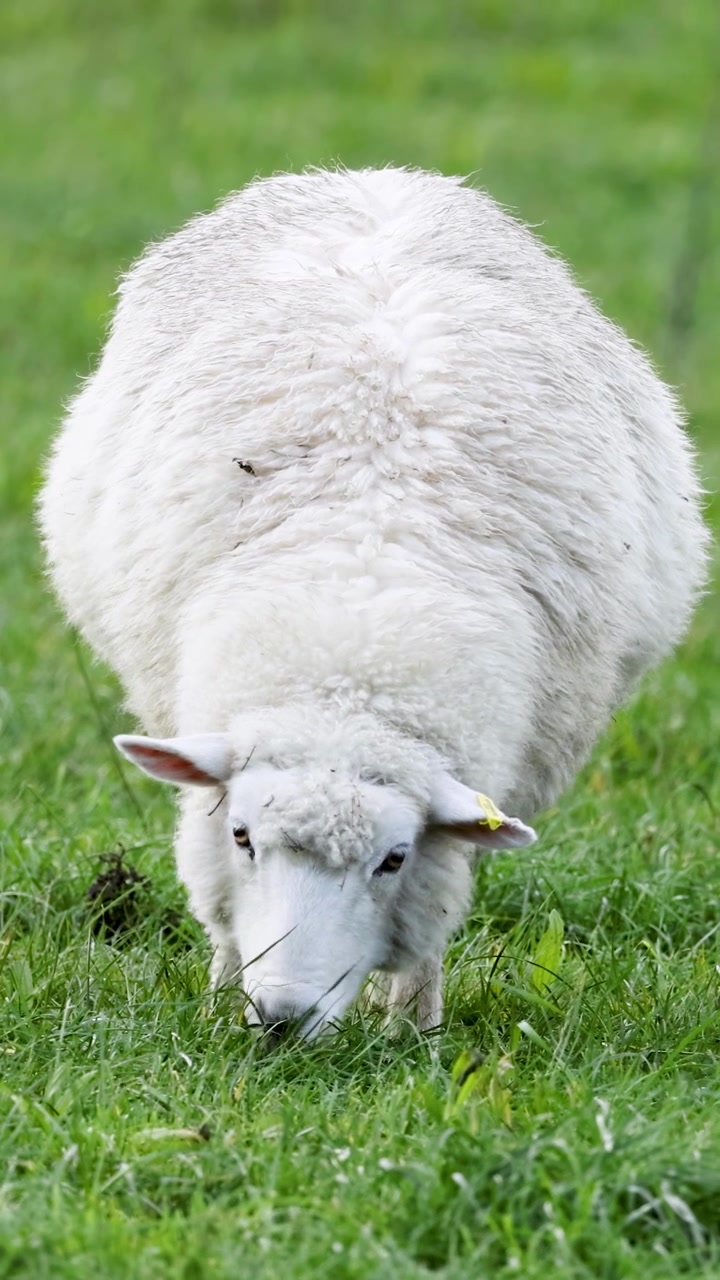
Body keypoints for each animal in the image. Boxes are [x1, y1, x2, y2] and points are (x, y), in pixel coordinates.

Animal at [39, 166, 709, 1040]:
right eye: (242, 836)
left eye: (393, 859)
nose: (283, 1018)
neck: (352, 645)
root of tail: (379, 178)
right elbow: (224, 919)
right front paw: (221, 1002)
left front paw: (413, 1031)